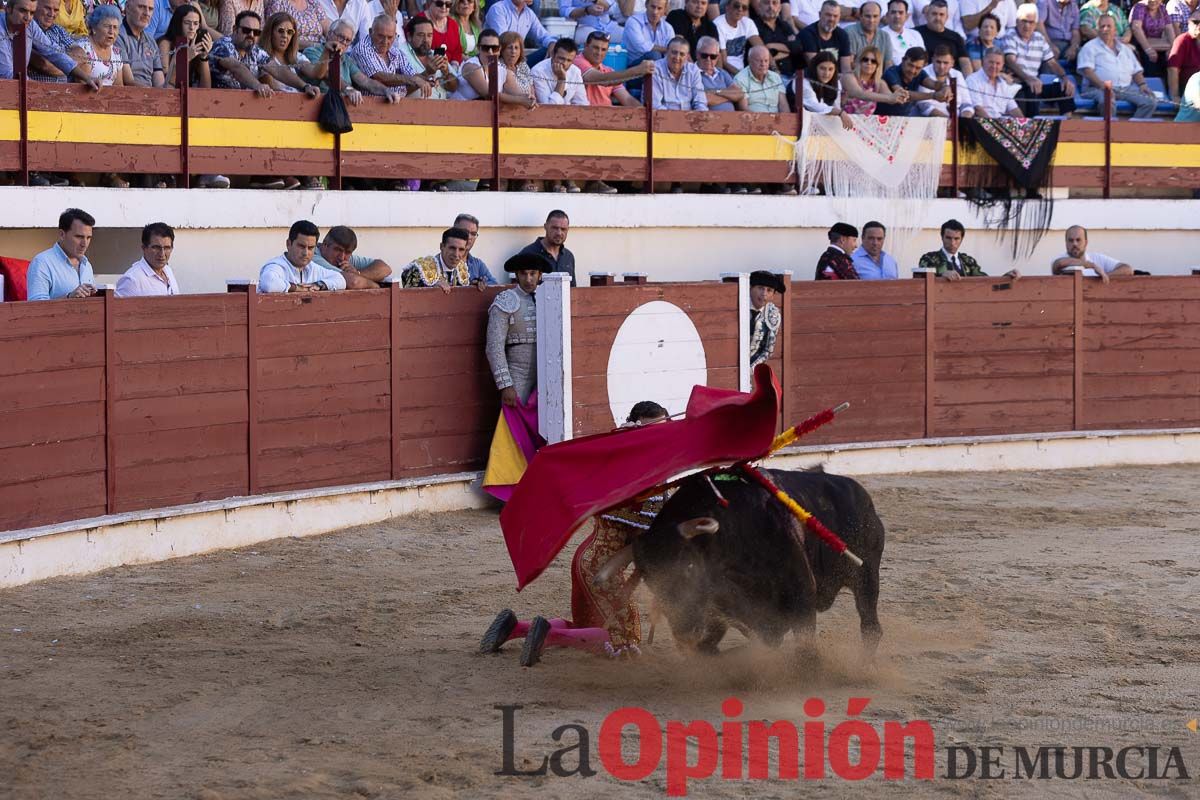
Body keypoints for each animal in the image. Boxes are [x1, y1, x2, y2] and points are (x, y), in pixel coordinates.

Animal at [597, 470, 883, 657]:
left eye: (689, 567)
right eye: (651, 581)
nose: (685, 633)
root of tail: (862, 495)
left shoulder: (801, 590)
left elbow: (804, 641)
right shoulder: (725, 607)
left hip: (866, 575)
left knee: (870, 625)